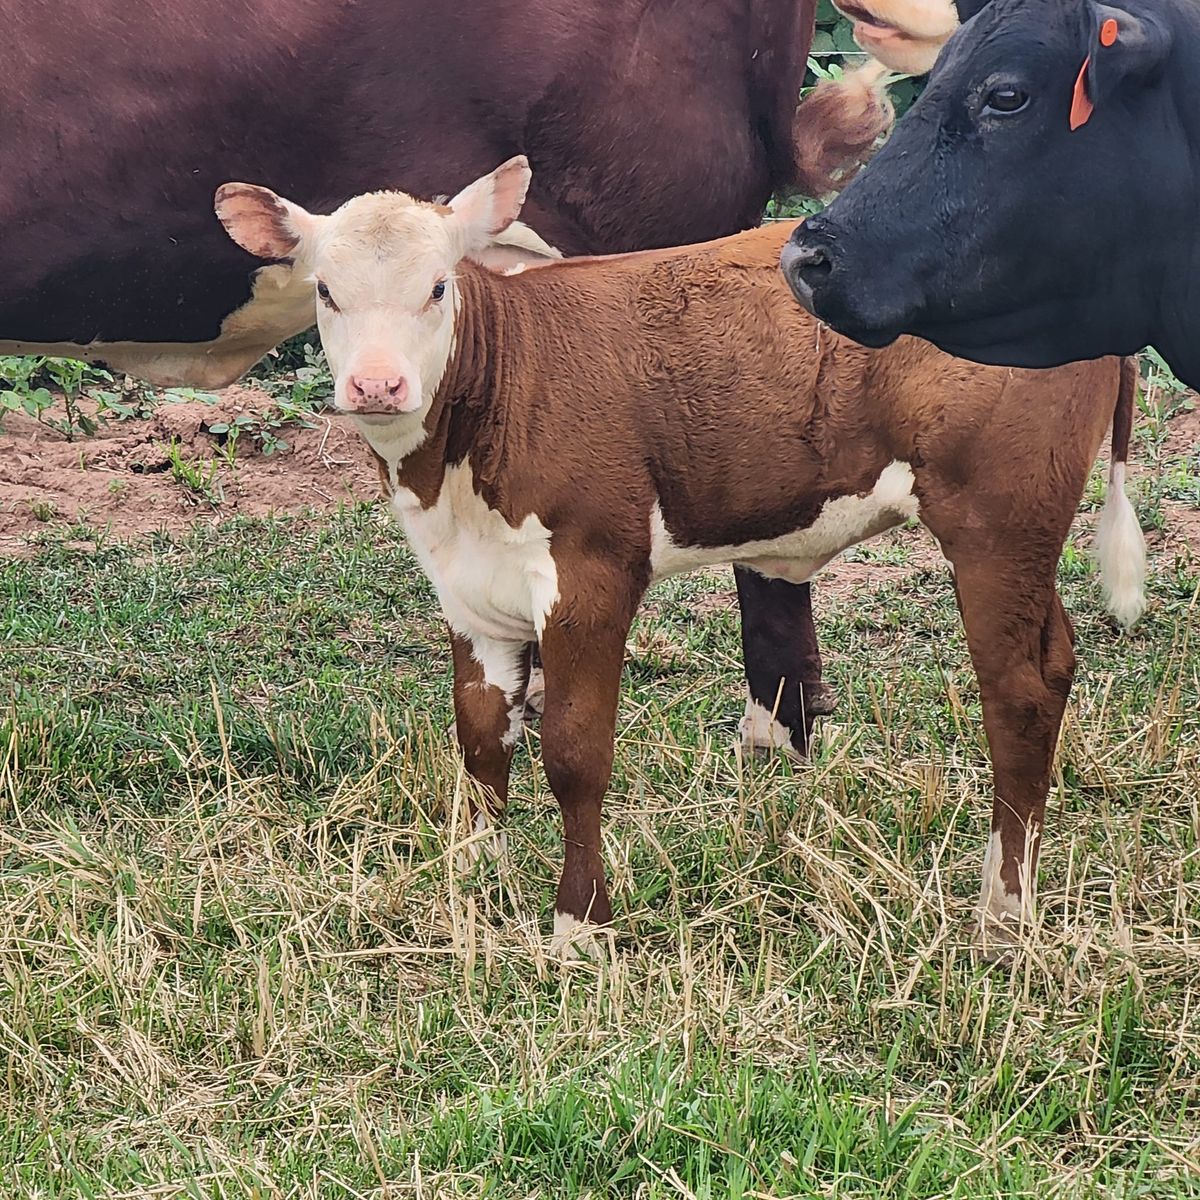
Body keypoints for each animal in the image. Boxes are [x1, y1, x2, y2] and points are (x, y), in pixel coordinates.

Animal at [216, 159, 1142, 950]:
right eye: (325, 291)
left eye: (438, 287)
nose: (376, 386)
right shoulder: (468, 589)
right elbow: (481, 738)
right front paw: (472, 879)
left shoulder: (592, 571)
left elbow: (574, 752)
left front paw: (579, 927)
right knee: (1056, 660)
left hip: (997, 518)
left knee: (1018, 691)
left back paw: (1003, 910)